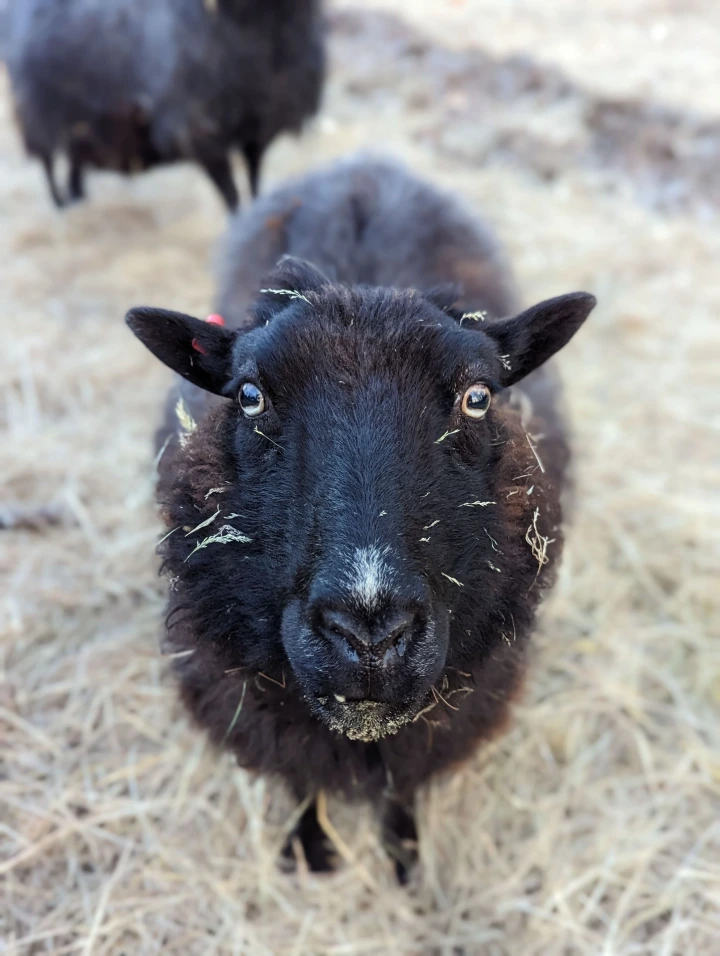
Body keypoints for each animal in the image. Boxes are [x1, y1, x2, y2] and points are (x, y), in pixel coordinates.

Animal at [6, 0, 325, 209]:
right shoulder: (198, 131)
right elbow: (232, 195)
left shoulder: (258, 128)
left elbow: (255, 183)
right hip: (38, 112)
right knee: (48, 162)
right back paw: (61, 205)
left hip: (81, 121)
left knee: (75, 155)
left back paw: (78, 197)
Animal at [126, 156, 596, 881]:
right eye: (250, 395)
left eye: (478, 396)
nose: (370, 636)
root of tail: (367, 163)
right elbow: (300, 776)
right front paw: (308, 849)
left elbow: (404, 779)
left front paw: (403, 856)